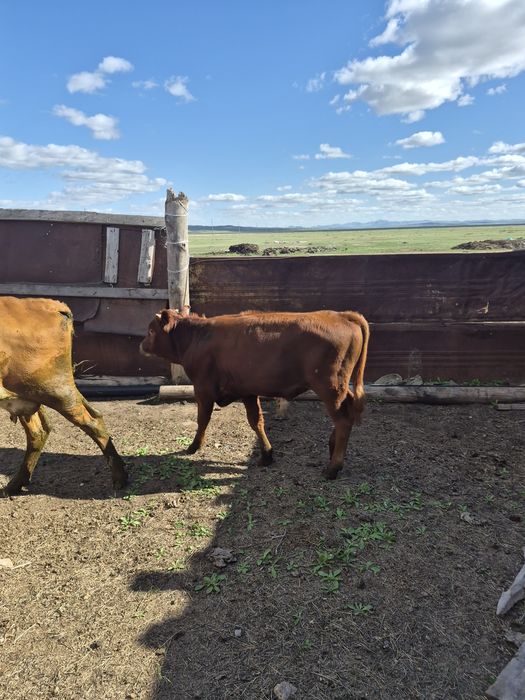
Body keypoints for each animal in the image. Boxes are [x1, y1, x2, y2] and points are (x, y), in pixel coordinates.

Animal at [0, 296, 128, 496]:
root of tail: (54, 306)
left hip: (55, 390)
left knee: (93, 420)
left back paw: (120, 478)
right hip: (27, 395)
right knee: (38, 431)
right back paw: (15, 485)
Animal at [140, 308, 369, 479]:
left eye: (151, 331)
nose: (141, 345)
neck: (198, 337)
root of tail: (341, 315)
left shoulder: (203, 389)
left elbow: (202, 419)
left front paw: (194, 446)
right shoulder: (247, 391)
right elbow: (256, 421)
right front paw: (267, 454)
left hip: (329, 387)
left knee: (343, 420)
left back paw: (333, 467)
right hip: (339, 388)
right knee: (347, 411)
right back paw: (331, 448)